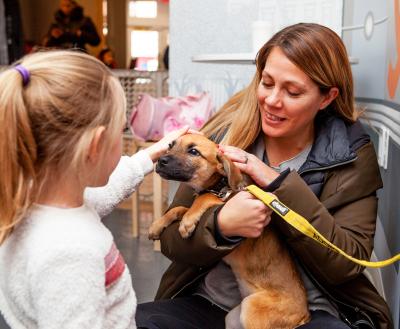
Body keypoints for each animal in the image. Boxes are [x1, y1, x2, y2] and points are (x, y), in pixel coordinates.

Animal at [148, 134, 308, 328]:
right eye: (170, 146)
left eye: (194, 152)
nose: (160, 161)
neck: (220, 184)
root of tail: (304, 315)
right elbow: (179, 208)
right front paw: (157, 225)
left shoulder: (225, 199)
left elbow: (203, 198)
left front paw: (187, 222)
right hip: (232, 317)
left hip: (251, 310)